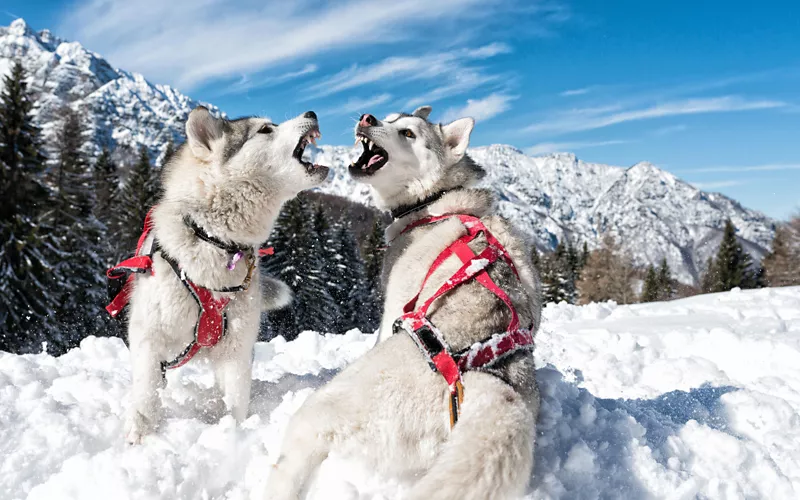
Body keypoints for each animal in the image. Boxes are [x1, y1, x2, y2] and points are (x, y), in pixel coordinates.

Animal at [122, 107, 328, 444]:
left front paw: (232, 432)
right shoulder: (149, 336)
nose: (311, 112)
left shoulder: (237, 349)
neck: (214, 239)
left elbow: (234, 400)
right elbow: (147, 390)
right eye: (266, 129)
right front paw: (140, 432)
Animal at [270, 106, 544, 500]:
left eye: (409, 133)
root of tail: (495, 387)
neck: (435, 201)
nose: (367, 118)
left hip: (329, 405)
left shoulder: (394, 306)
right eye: (389, 117)